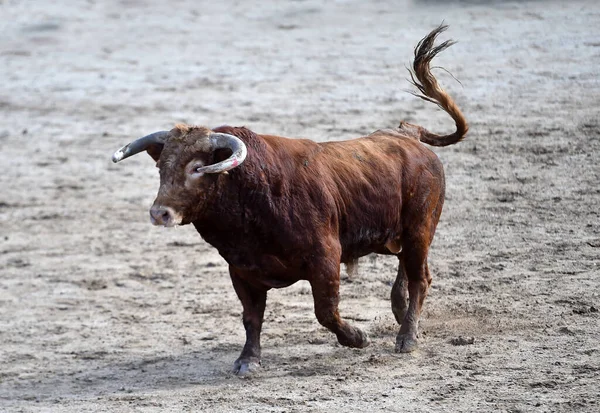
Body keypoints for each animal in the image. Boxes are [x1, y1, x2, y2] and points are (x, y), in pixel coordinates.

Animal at [112, 25, 468, 374]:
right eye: (161, 166)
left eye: (197, 168)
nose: (160, 213)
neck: (252, 194)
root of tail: (409, 135)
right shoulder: (241, 270)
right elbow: (251, 317)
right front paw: (248, 360)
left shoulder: (325, 259)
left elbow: (325, 310)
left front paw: (357, 337)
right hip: (397, 235)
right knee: (407, 269)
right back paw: (399, 310)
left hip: (419, 228)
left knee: (420, 277)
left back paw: (407, 337)